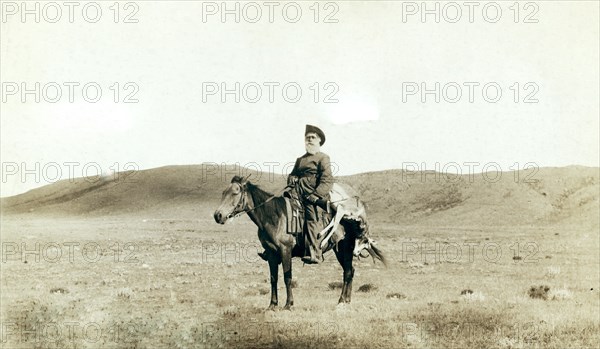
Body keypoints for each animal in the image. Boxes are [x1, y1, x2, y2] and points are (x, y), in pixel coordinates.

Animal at [213, 175, 386, 308]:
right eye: (223, 192)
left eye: (235, 192)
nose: (218, 215)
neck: (274, 216)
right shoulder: (271, 254)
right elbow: (273, 279)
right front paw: (272, 305)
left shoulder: (285, 250)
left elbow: (287, 277)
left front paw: (288, 304)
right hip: (340, 250)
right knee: (349, 271)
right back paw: (346, 300)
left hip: (345, 248)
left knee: (348, 271)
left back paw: (342, 300)